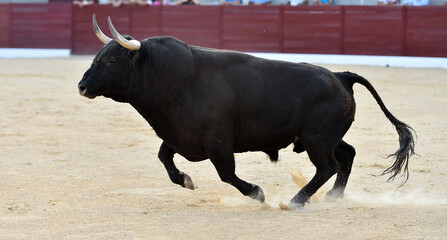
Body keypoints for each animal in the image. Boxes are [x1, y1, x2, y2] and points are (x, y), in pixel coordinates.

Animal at [78, 17, 416, 209]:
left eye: (112, 61)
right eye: (98, 57)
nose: (82, 86)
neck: (172, 78)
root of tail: (341, 75)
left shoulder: (218, 142)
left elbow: (227, 173)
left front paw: (257, 193)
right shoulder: (179, 135)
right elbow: (164, 157)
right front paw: (186, 180)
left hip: (317, 140)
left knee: (328, 166)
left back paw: (295, 201)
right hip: (322, 137)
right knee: (346, 155)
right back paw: (333, 198)